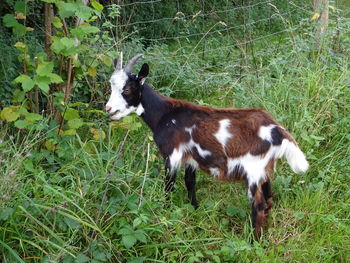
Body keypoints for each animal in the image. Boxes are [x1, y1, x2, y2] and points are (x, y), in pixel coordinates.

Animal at [104, 53, 308, 239]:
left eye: (127, 90)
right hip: (266, 168)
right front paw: (194, 209)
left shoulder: (172, 154)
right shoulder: (190, 158)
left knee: (258, 204)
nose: (108, 109)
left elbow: (169, 185)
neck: (165, 115)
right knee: (269, 198)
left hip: (254, 169)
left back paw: (252, 240)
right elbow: (190, 183)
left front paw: (165, 213)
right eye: (111, 86)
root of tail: (277, 130)